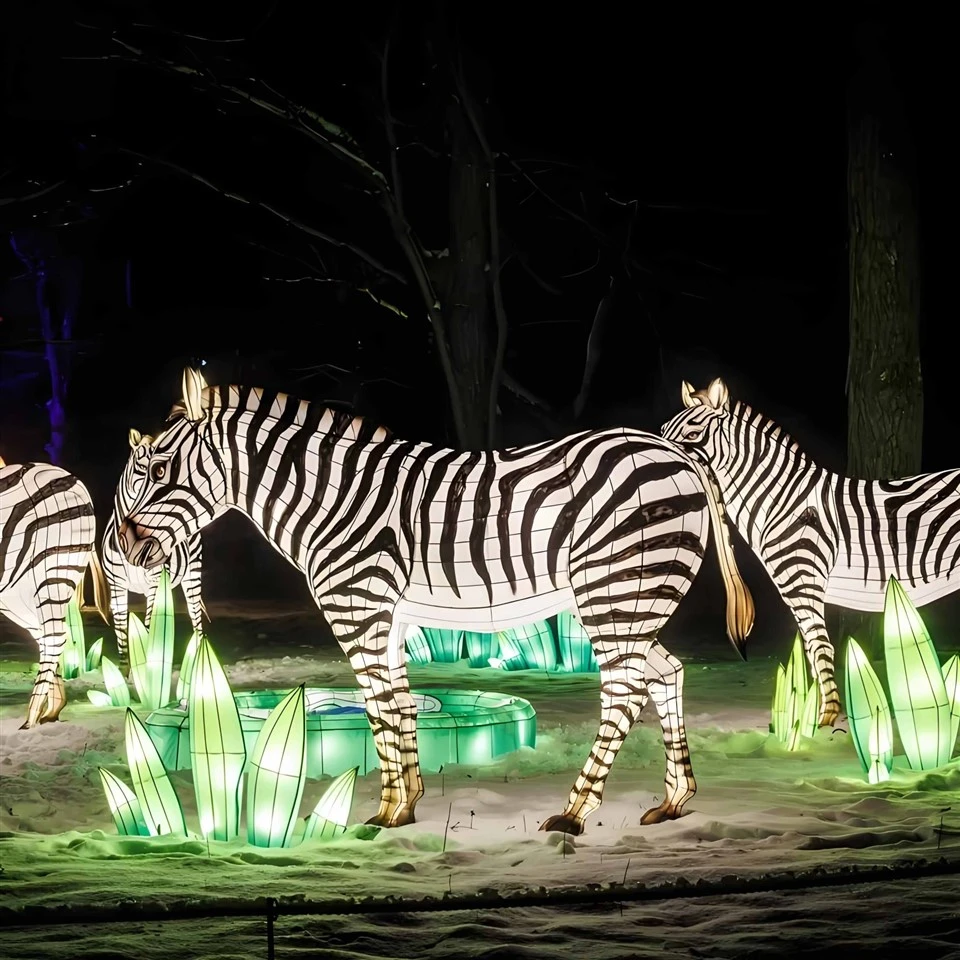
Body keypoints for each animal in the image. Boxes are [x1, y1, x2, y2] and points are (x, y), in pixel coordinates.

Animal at [1, 460, 109, 728]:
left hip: (51, 567)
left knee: (54, 636)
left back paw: (32, 716)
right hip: (18, 591)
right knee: (47, 635)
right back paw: (50, 710)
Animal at [102, 427, 207, 670]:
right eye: (142, 466)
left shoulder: (153, 581)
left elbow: (149, 625)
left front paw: (148, 666)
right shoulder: (116, 585)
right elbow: (121, 629)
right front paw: (124, 669)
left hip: (192, 574)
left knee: (195, 616)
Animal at [117, 367, 754, 834]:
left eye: (159, 468)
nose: (123, 547)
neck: (330, 499)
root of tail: (675, 453)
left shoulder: (359, 611)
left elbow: (378, 709)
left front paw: (384, 812)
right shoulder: (389, 621)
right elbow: (398, 705)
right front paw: (405, 807)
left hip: (615, 590)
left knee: (624, 691)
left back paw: (575, 813)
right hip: (633, 597)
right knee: (665, 673)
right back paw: (674, 801)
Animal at [660, 376, 960, 729]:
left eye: (693, 434)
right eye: (663, 429)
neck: (780, 501)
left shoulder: (804, 580)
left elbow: (820, 646)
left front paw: (826, 718)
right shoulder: (792, 588)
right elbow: (809, 650)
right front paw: (808, 722)